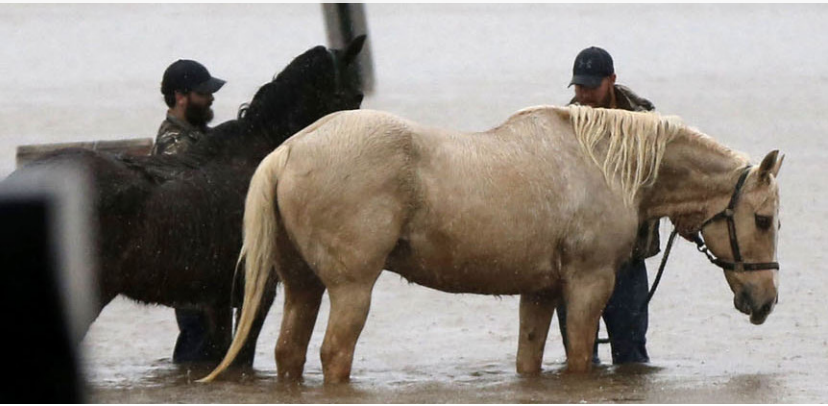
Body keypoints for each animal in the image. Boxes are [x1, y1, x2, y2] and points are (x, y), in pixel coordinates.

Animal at [201, 104, 784, 384]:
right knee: (333, 355)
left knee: (290, 353)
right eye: (763, 219)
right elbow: (578, 357)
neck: (602, 164)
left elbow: (530, 360)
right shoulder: (588, 284)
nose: (765, 302)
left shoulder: (541, 292)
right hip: (351, 289)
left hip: (302, 286)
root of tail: (290, 149)